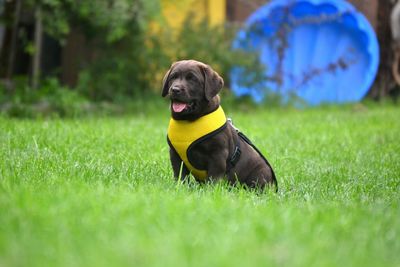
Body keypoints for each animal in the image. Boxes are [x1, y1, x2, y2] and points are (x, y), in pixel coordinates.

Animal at [161, 60, 276, 191]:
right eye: (173, 77)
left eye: (192, 79)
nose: (175, 89)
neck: (189, 120)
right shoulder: (175, 154)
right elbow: (180, 174)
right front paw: (180, 187)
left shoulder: (217, 155)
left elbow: (213, 177)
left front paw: (210, 192)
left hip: (260, 173)